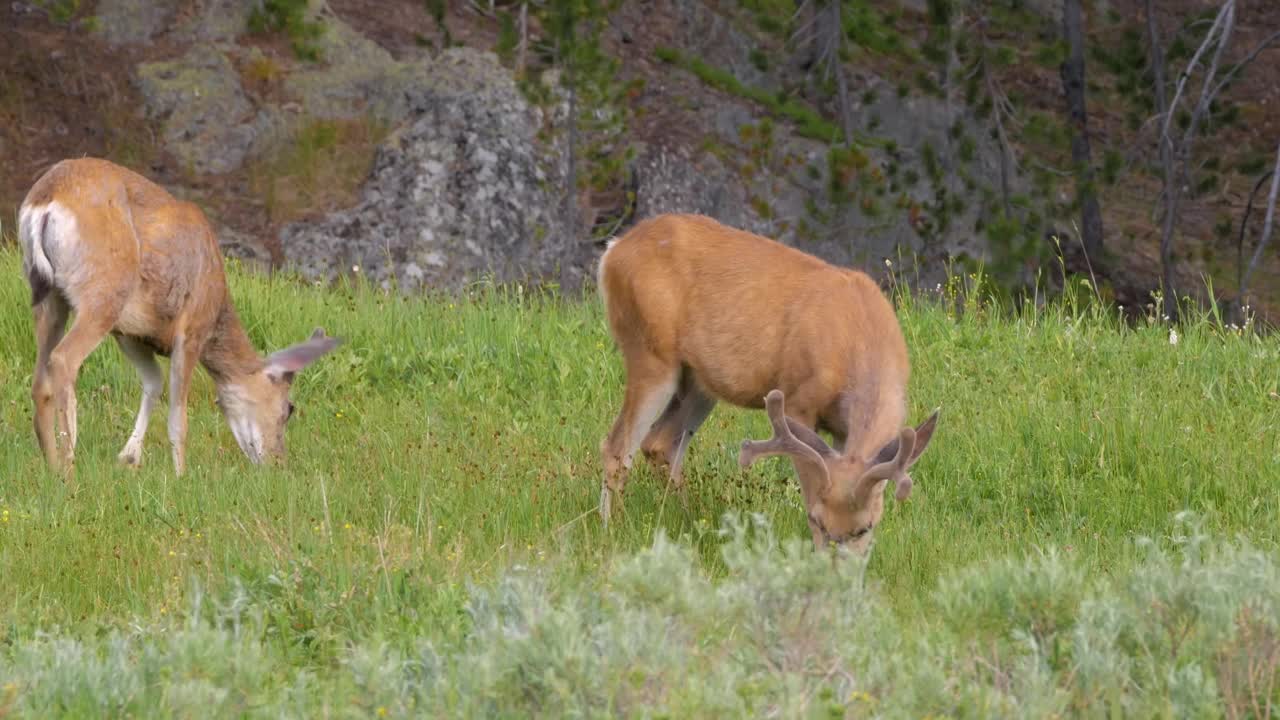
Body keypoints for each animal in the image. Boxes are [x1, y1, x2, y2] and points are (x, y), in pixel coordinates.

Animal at [20, 156, 343, 474]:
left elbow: (154, 382)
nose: (277, 462)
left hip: (48, 295)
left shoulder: (130, 333)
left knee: (40, 381)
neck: (217, 306)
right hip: (103, 291)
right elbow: (178, 417)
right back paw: (69, 467)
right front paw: (179, 475)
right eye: (289, 409)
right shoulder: (191, 329)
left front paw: (129, 456)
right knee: (63, 359)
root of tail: (43, 203)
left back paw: (51, 466)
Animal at [593, 210, 936, 550]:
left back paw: (690, 523)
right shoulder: (799, 400)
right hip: (650, 353)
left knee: (660, 443)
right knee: (617, 446)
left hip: (697, 380)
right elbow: (810, 485)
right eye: (817, 522)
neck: (863, 337)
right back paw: (612, 530)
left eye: (867, 527)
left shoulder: (841, 430)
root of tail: (613, 251)